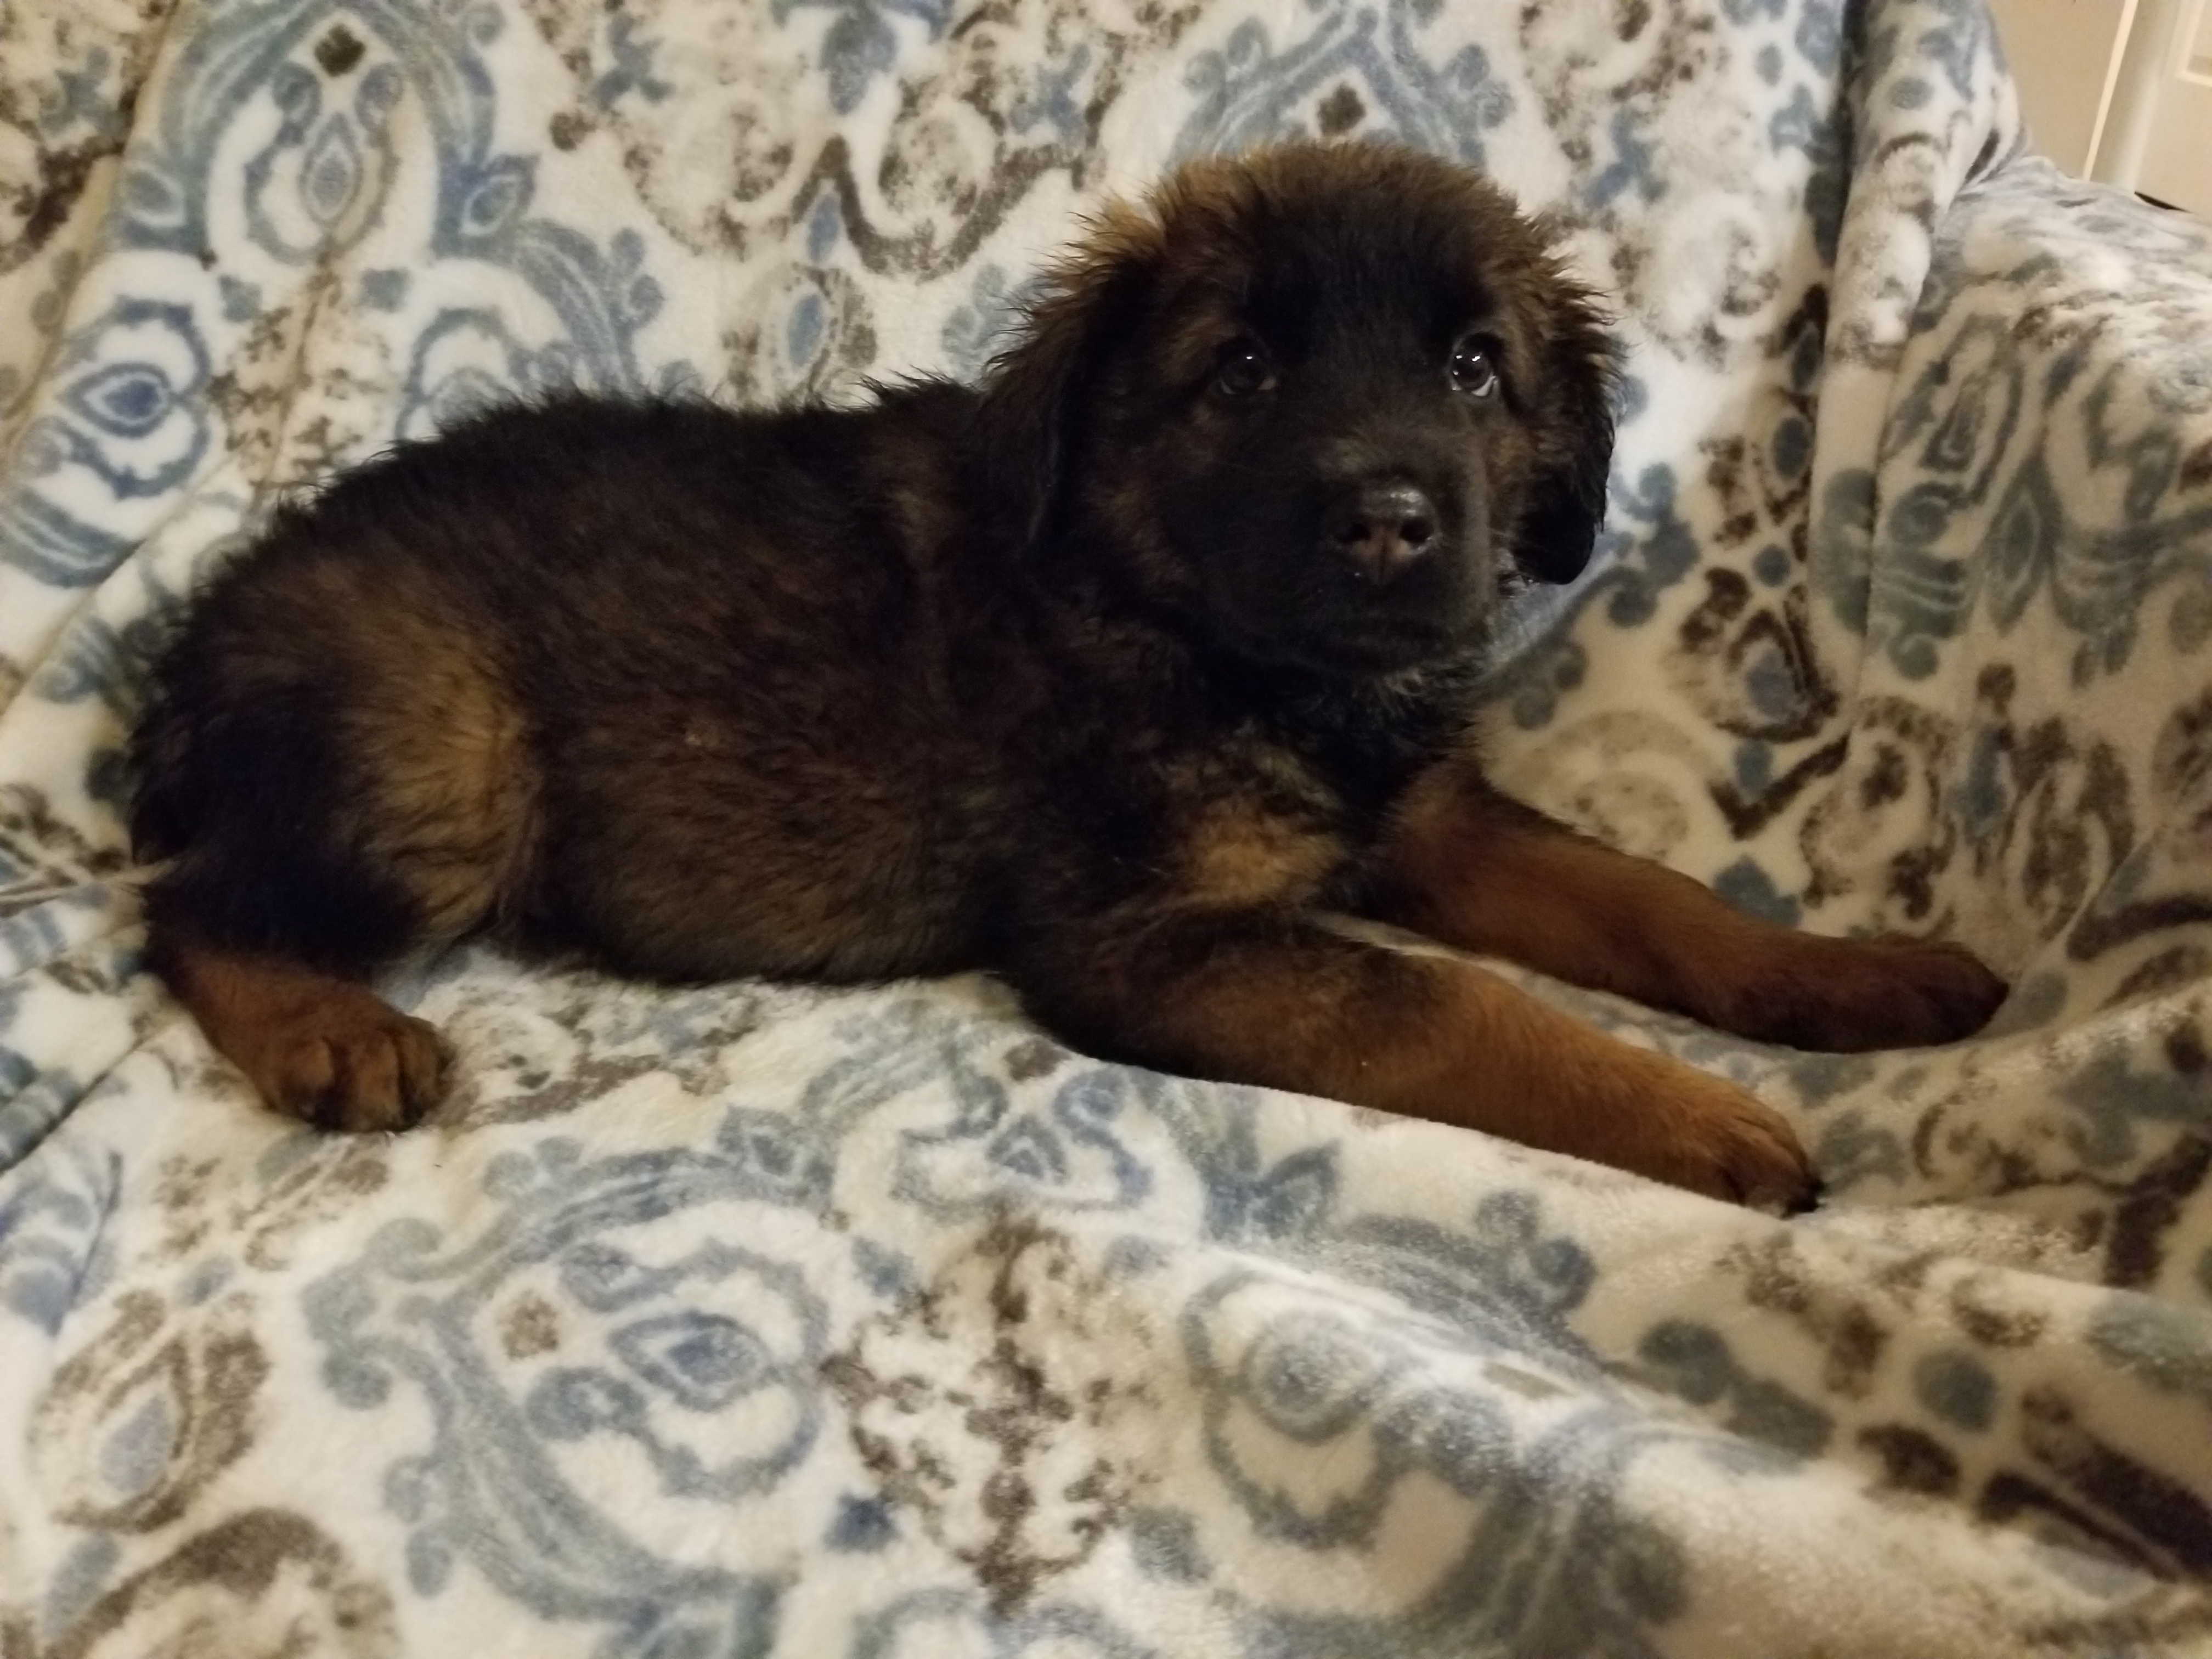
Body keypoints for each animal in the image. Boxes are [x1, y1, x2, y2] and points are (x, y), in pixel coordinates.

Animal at [133, 140, 2008, 1212]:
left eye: (1480, 369)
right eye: (1241, 372)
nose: (1394, 525)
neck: (1202, 634)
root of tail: (217, 613)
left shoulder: (1427, 819)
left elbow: (1650, 900)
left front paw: (1847, 976)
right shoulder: (1144, 942)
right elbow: (1462, 1005)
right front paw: (1693, 1111)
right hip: (442, 749)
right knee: (190, 910)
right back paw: (330, 1028)